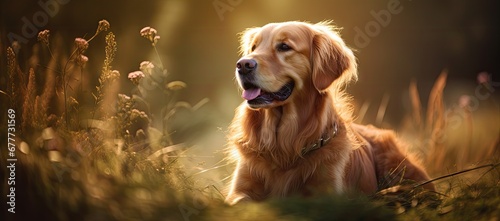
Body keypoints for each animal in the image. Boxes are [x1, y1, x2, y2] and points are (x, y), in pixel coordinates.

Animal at [226, 21, 434, 205]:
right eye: (253, 48)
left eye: (284, 47)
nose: (243, 65)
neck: (284, 147)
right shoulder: (239, 190)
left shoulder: (327, 191)